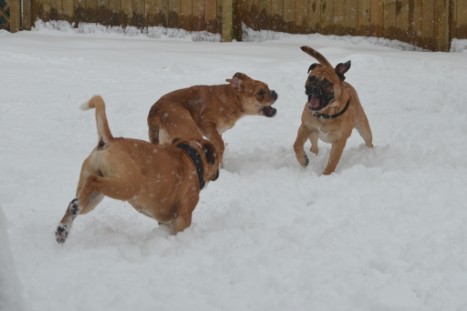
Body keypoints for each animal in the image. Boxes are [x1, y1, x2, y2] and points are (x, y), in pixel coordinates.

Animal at [55, 95, 221, 244]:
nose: (218, 173)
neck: (192, 157)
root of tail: (110, 140)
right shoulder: (183, 217)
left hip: (94, 196)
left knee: (74, 205)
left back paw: (63, 229)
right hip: (126, 185)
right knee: (93, 181)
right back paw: (74, 209)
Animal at [147, 73, 278, 165]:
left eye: (268, 87)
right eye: (260, 92)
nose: (274, 92)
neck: (233, 100)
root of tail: (155, 113)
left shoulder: (217, 131)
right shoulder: (207, 124)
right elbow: (220, 145)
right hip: (190, 130)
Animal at [294, 45, 374, 176]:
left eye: (326, 83)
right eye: (311, 78)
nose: (313, 88)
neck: (326, 114)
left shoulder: (339, 141)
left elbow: (332, 161)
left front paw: (326, 175)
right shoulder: (305, 127)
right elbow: (296, 145)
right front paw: (303, 160)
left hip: (364, 128)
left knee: (369, 140)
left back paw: (371, 152)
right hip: (312, 133)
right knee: (314, 144)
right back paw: (313, 153)